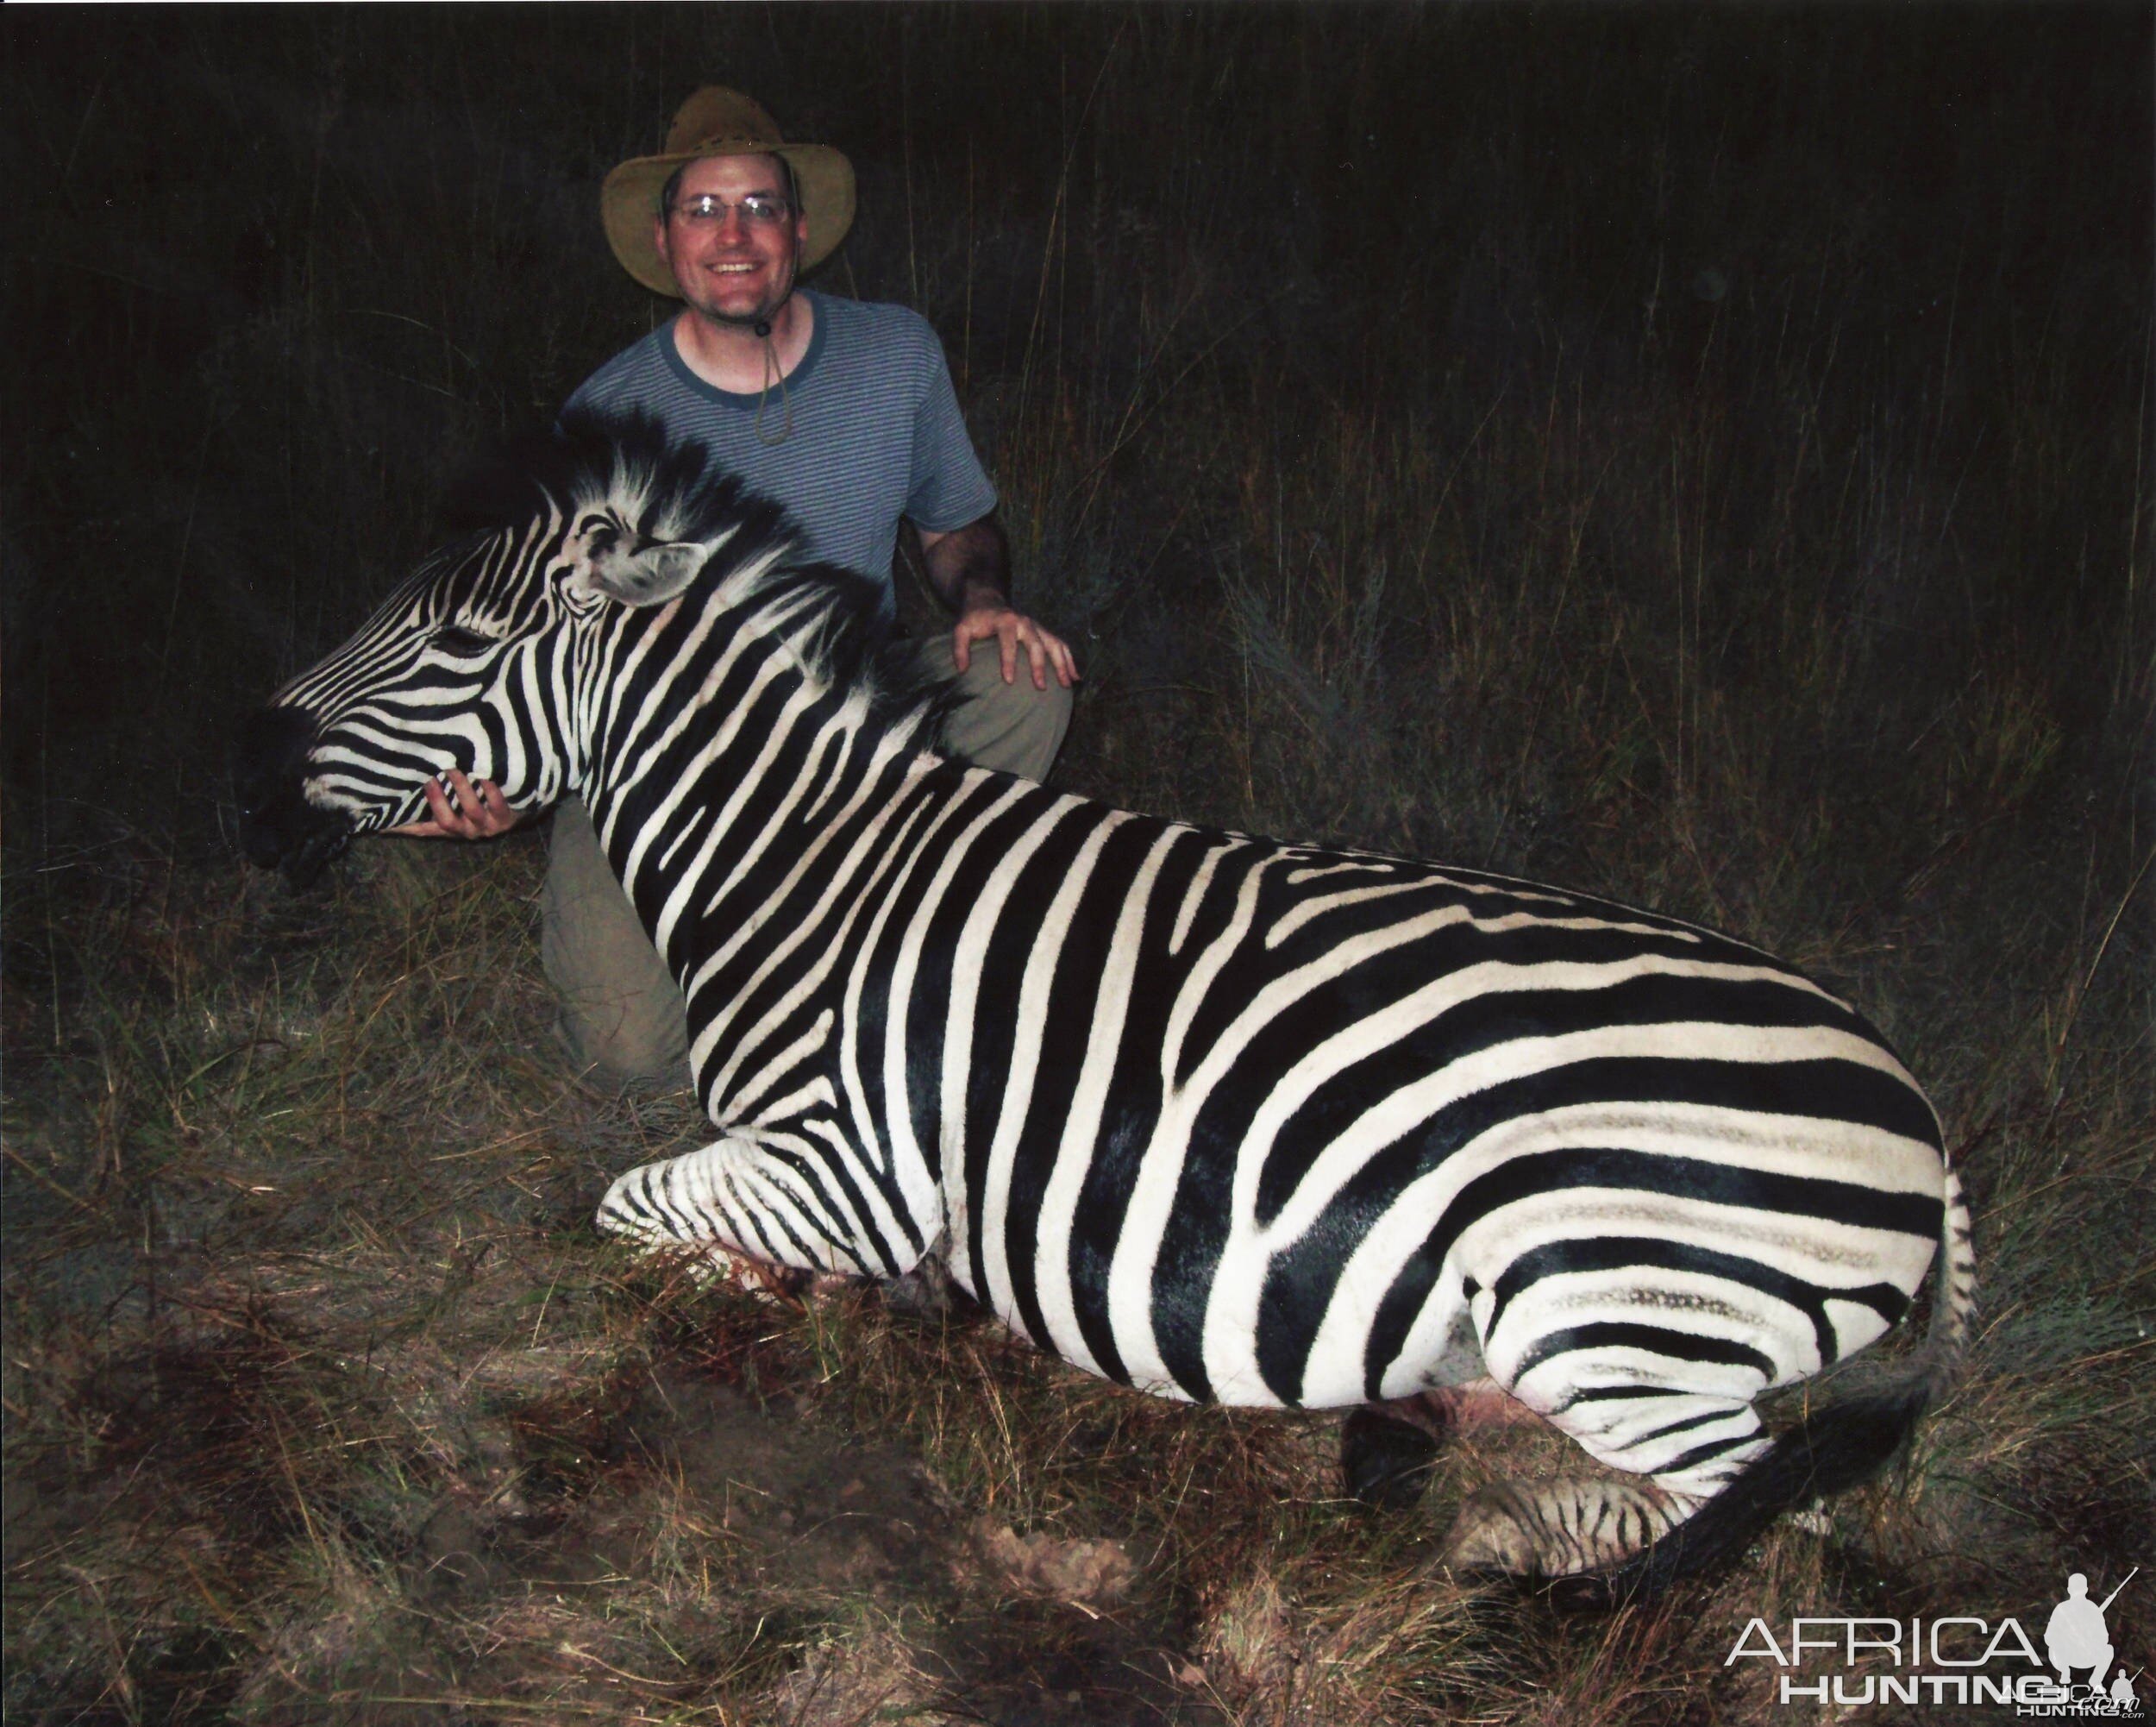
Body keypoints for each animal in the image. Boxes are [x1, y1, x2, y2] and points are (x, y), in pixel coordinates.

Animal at [235, 411, 1975, 1595]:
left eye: (458, 635)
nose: (250, 782)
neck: (809, 859)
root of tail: (1924, 1110)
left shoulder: (846, 1162)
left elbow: (632, 1207)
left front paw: (800, 1292)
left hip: (1602, 1294)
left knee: (1733, 1504)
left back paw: (1487, 1537)